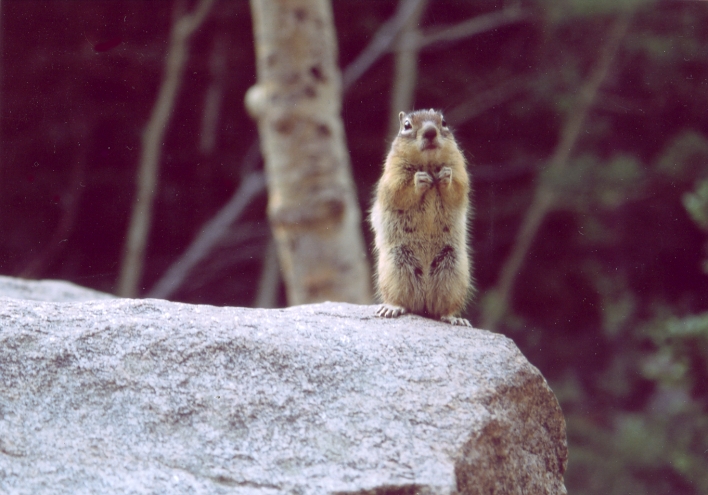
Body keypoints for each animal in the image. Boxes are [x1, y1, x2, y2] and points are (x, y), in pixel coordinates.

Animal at [370, 109, 472, 326]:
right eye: (407, 125)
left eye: (444, 122)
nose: (431, 132)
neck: (429, 164)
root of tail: (423, 305)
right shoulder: (393, 173)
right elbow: (398, 192)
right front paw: (419, 180)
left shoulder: (459, 168)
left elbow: (457, 189)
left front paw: (445, 177)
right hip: (396, 264)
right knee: (403, 300)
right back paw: (392, 307)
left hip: (453, 267)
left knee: (441, 309)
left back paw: (453, 317)